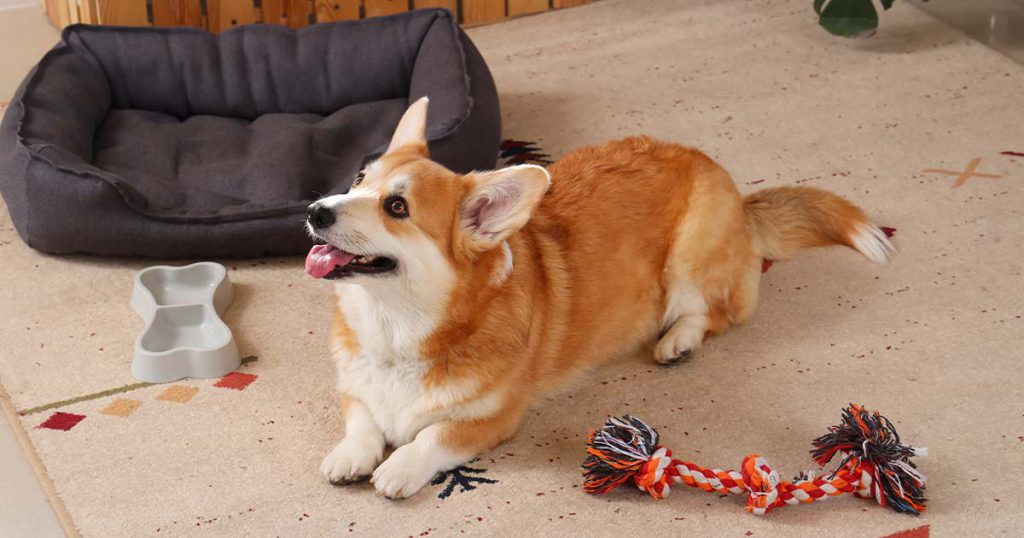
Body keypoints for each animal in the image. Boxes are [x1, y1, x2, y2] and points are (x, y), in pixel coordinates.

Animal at [305, 98, 897, 498]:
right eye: (359, 180)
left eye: (397, 207)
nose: (315, 210)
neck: (398, 327)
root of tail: (735, 192)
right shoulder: (357, 388)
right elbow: (361, 418)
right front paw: (350, 456)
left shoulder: (493, 419)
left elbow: (433, 436)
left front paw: (398, 468)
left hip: (689, 259)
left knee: (716, 312)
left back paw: (677, 341)